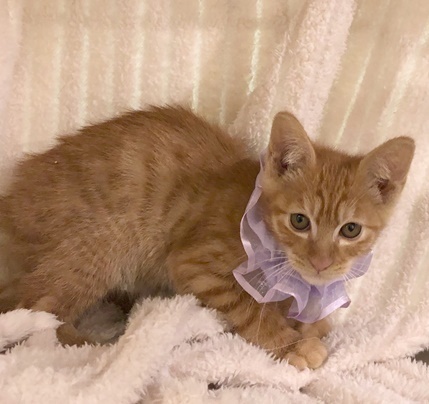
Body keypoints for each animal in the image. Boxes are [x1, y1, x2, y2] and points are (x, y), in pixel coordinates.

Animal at [0, 106, 414, 369]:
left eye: (350, 230)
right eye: (300, 221)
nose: (321, 262)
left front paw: (311, 326)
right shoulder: (197, 263)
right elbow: (251, 310)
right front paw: (290, 343)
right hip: (94, 249)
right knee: (35, 315)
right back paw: (95, 348)